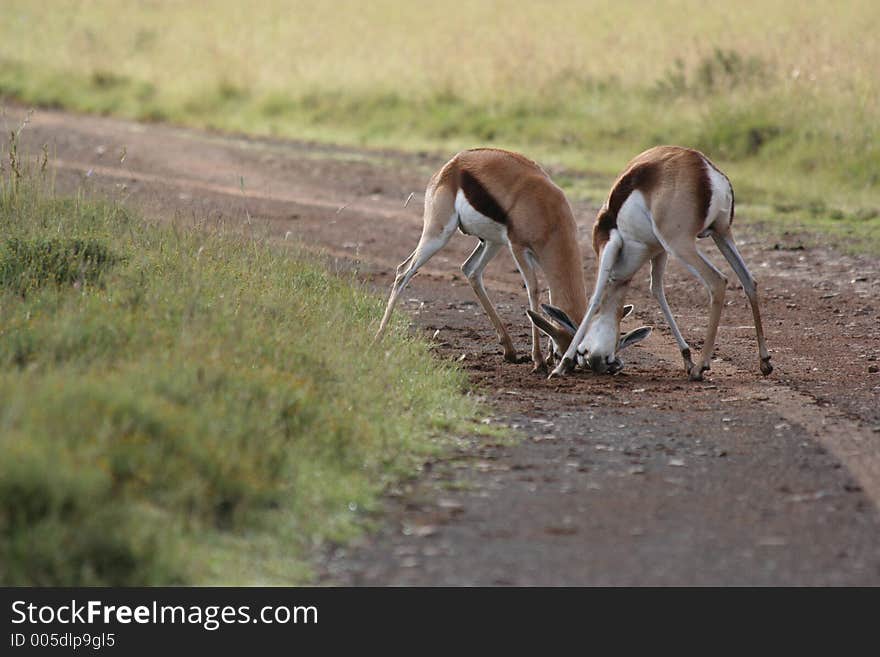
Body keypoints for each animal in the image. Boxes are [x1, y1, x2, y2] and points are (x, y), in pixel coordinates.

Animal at [372, 150, 652, 374]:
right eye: (581, 350)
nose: (607, 366)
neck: (549, 214)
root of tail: (452, 164)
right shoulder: (518, 247)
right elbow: (534, 290)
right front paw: (539, 361)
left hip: (491, 242)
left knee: (470, 270)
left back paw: (509, 350)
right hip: (440, 233)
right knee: (404, 271)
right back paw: (378, 337)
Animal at [540, 144, 772, 380]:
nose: (599, 362)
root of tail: (707, 169)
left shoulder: (609, 244)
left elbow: (595, 298)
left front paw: (561, 366)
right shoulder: (657, 250)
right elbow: (657, 290)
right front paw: (686, 357)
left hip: (680, 243)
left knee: (717, 281)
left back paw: (701, 367)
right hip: (721, 233)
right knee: (748, 280)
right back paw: (764, 362)